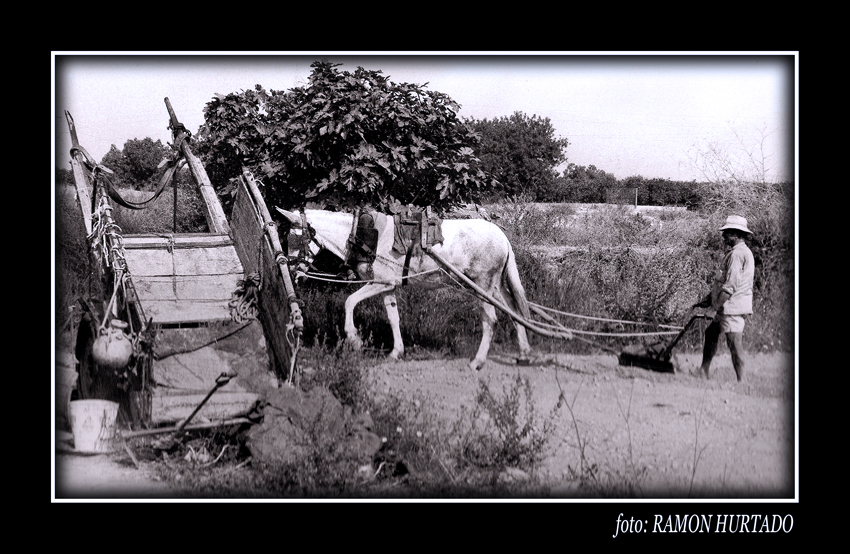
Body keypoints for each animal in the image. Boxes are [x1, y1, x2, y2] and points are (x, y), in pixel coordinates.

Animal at [278, 208, 528, 370]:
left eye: (294, 238)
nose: (290, 269)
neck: (363, 236)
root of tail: (503, 237)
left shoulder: (381, 283)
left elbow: (349, 302)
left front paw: (354, 339)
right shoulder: (388, 288)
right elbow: (393, 318)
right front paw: (396, 352)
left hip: (482, 285)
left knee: (491, 320)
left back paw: (477, 361)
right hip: (495, 287)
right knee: (515, 313)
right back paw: (524, 354)